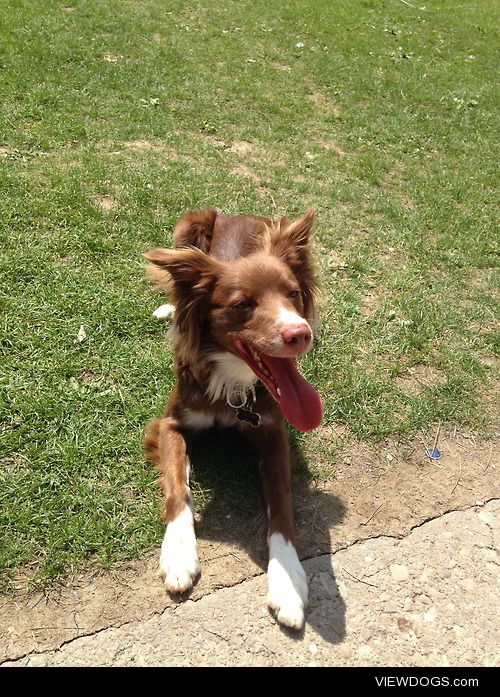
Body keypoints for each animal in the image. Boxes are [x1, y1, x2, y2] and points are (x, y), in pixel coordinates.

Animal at [144, 209, 324, 628]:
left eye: (293, 293)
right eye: (243, 304)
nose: (300, 333)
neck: (234, 383)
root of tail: (237, 212)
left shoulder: (274, 434)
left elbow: (283, 505)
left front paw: (288, 584)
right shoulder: (170, 424)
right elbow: (178, 485)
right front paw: (179, 554)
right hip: (188, 227)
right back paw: (170, 309)